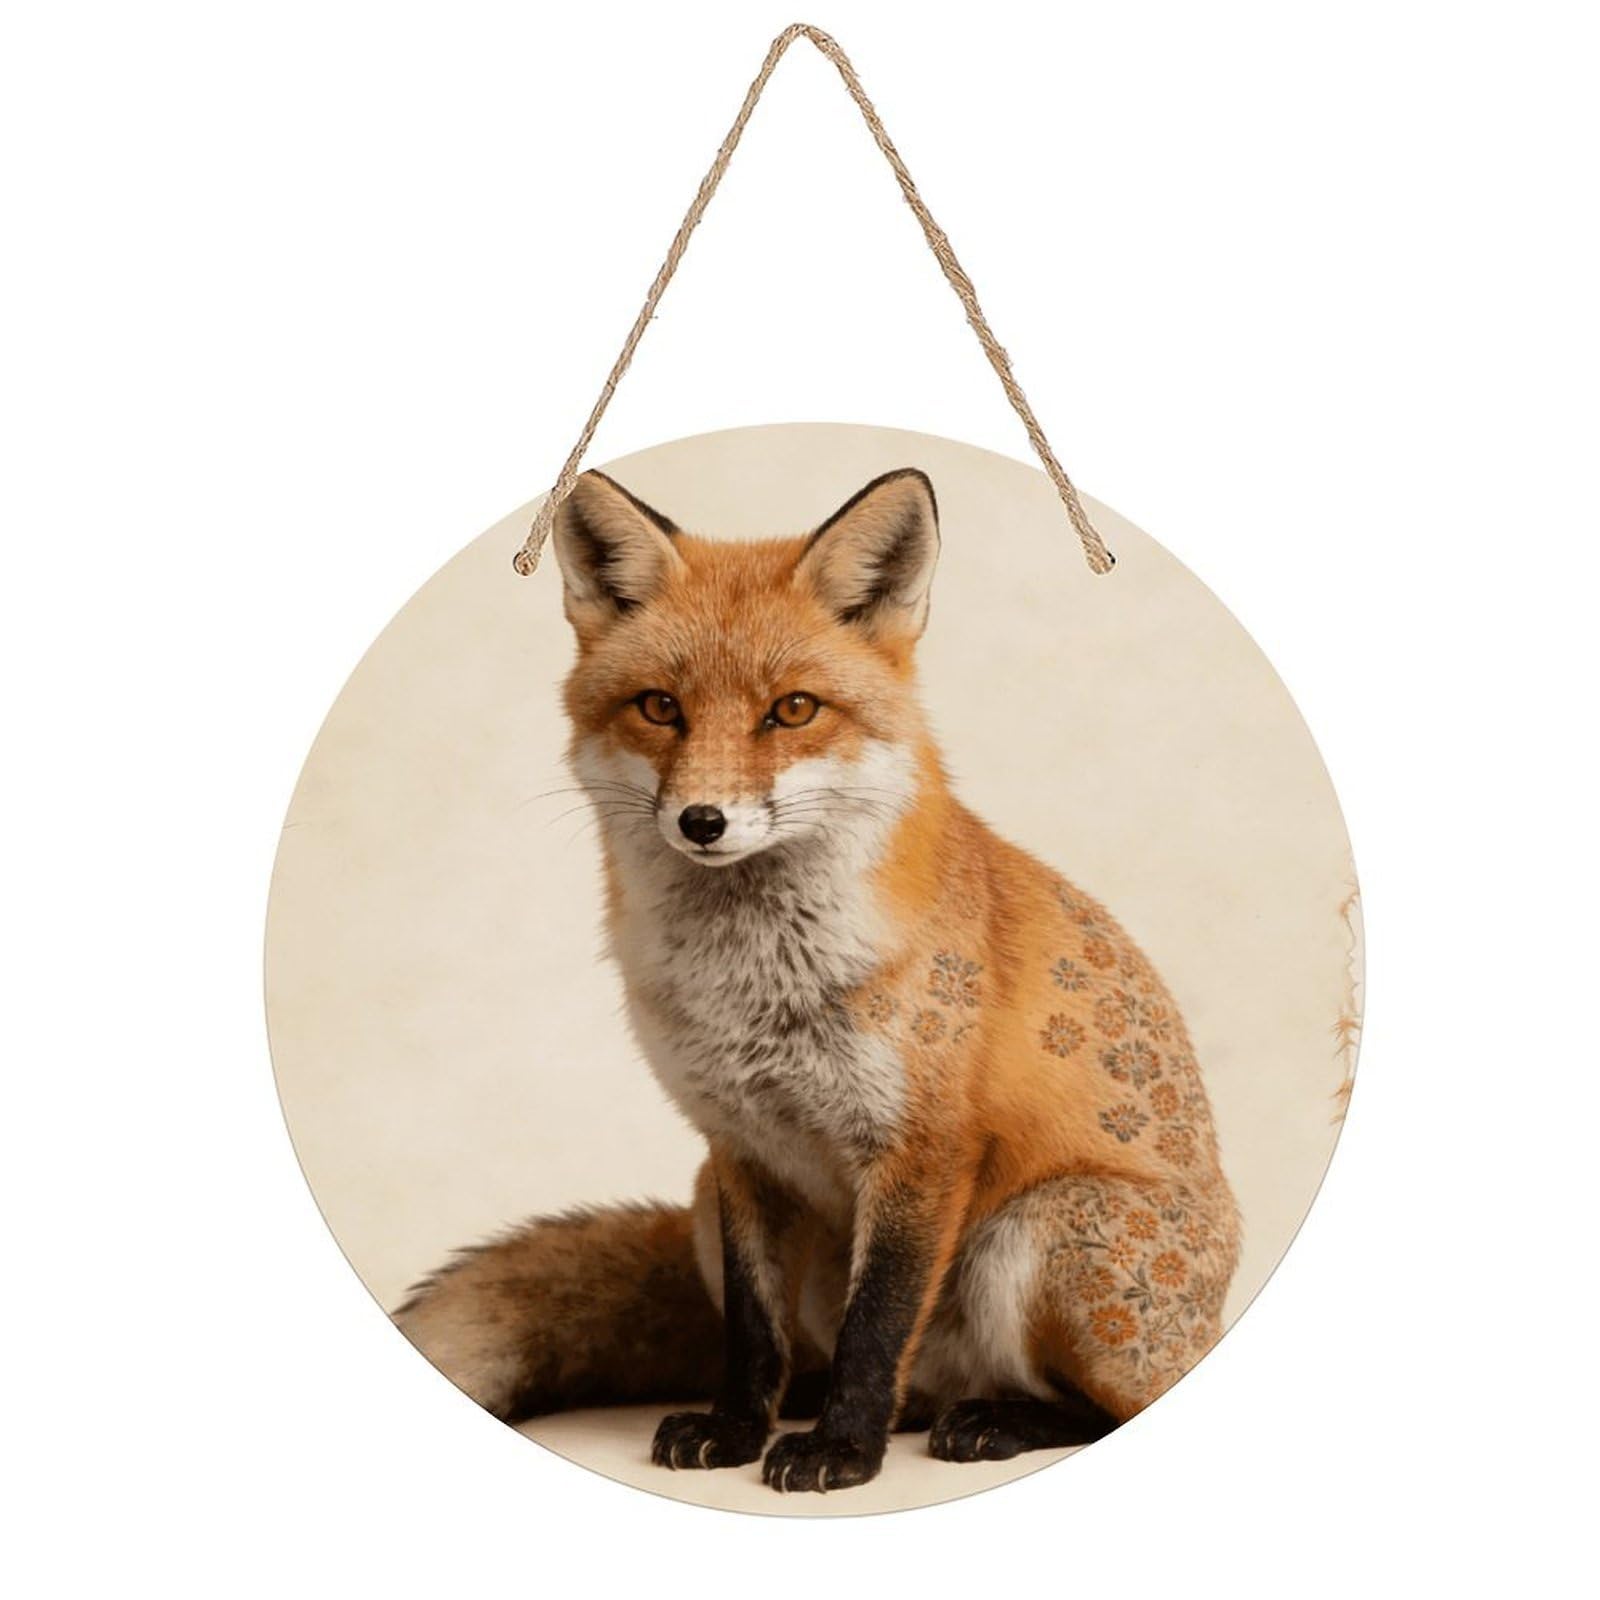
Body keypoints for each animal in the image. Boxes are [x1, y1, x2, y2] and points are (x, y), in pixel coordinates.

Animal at [395, 466, 1241, 1494]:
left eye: (792, 710)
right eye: (659, 707)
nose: (703, 820)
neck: (754, 987)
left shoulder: (923, 1146)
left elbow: (875, 1324)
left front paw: (842, 1451)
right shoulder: (736, 1147)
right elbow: (754, 1333)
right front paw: (737, 1428)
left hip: (1044, 1230)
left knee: (1107, 1406)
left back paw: (991, 1421)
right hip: (704, 1204)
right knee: (856, 1370)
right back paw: (817, 1405)